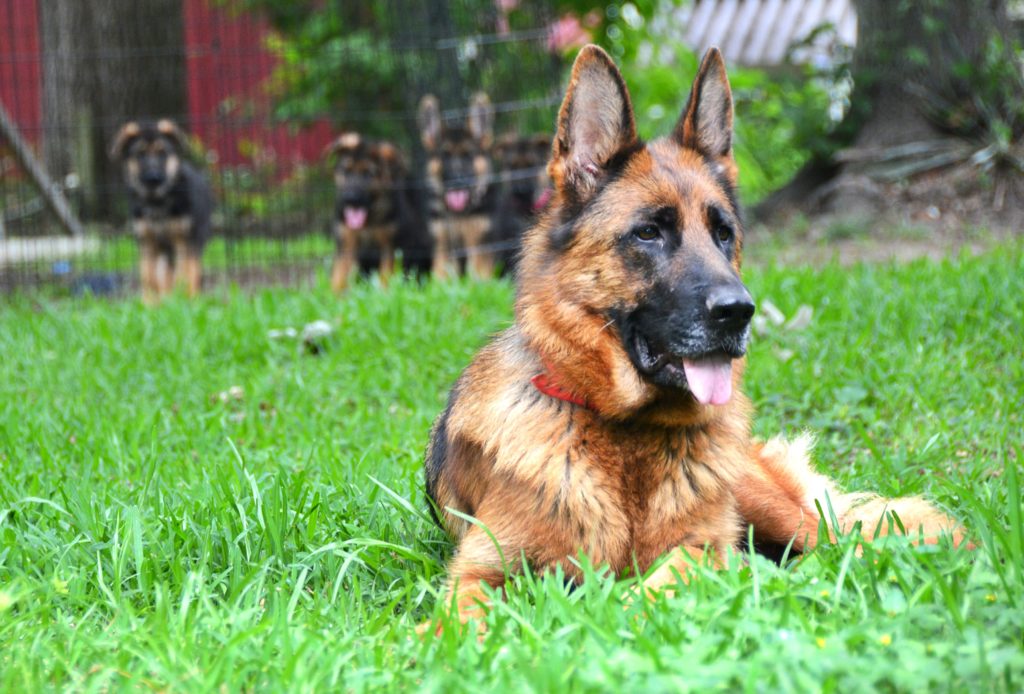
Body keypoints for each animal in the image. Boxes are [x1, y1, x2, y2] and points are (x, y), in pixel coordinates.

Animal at [110, 118, 211, 300]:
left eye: (162, 153)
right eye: (140, 154)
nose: (153, 178)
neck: (157, 202)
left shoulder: (183, 240)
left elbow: (184, 274)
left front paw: (182, 299)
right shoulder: (147, 242)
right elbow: (149, 277)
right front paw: (151, 303)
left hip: (194, 240)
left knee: (192, 270)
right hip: (164, 250)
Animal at [327, 132, 407, 290]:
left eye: (369, 174)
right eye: (346, 171)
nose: (350, 199)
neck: (367, 224)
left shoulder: (389, 246)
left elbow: (385, 276)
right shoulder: (346, 242)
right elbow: (340, 277)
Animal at [415, 92, 495, 280]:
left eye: (468, 155)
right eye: (445, 156)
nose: (457, 183)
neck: (459, 214)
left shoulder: (478, 246)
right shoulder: (443, 248)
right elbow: (440, 279)